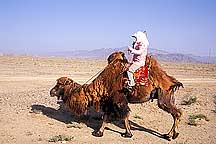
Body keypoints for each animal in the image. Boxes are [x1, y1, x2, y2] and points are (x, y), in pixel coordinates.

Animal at [49, 51, 183, 140]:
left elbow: (124, 115)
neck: (103, 83)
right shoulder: (109, 101)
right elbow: (106, 116)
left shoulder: (118, 99)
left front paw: (127, 134)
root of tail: (172, 81)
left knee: (176, 113)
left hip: (163, 96)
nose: (51, 91)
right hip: (168, 97)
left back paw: (171, 135)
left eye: (59, 84)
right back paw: (170, 134)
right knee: (176, 113)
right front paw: (100, 132)